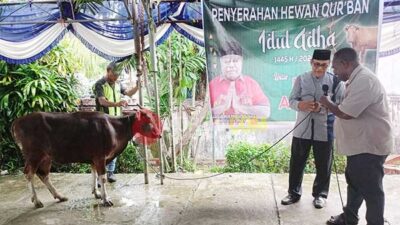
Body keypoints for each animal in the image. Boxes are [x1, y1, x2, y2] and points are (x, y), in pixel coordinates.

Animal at [10, 110, 161, 208]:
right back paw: (36, 201)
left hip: (46, 157)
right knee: (29, 173)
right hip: (34, 154)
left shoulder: (94, 158)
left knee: (43, 175)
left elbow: (94, 174)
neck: (116, 129)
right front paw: (106, 199)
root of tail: (17, 122)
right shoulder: (100, 156)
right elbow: (102, 177)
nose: (159, 134)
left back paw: (60, 196)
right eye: (148, 119)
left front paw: (97, 193)